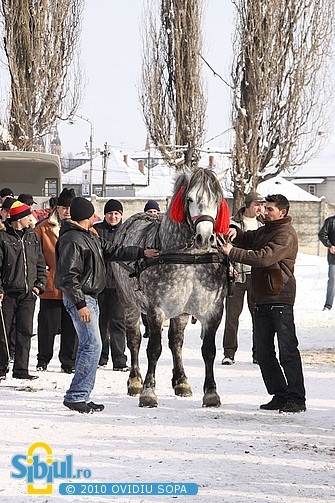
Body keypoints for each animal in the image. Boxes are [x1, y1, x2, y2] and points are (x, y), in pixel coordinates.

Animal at [113, 167, 231, 408]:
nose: (204, 237)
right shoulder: (155, 310)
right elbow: (154, 349)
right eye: (190, 198)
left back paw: (181, 381)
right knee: (134, 339)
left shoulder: (213, 310)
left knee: (176, 342)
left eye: (217, 200)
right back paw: (135, 381)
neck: (190, 259)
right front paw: (148, 392)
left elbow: (209, 350)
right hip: (128, 303)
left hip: (181, 313)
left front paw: (211, 393)